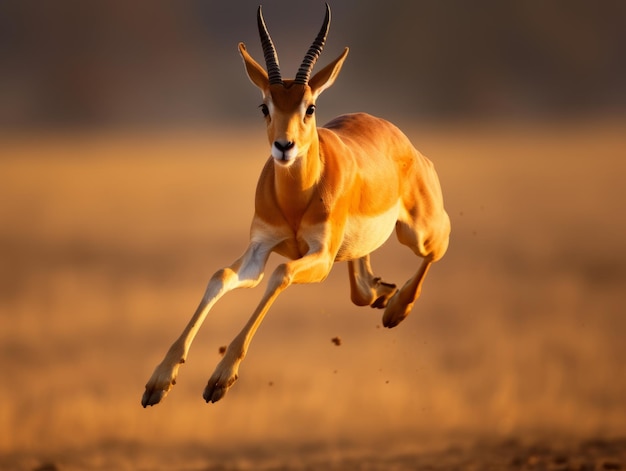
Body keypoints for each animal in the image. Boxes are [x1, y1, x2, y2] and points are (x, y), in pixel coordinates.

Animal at [141, 3, 448, 408]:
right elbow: (221, 276)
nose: (284, 146)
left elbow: (281, 273)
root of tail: (402, 139)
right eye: (264, 106)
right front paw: (158, 382)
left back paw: (397, 310)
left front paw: (220, 380)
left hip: (418, 232)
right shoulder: (261, 247)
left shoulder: (318, 257)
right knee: (361, 285)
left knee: (439, 244)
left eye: (310, 107)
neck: (298, 200)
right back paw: (382, 294)